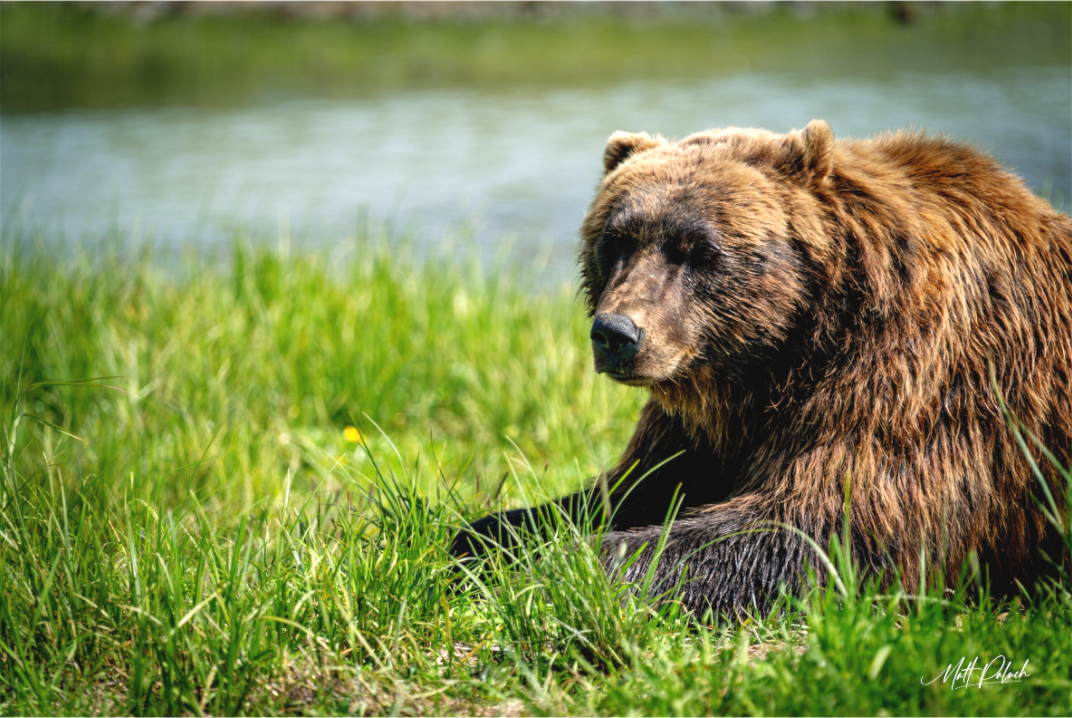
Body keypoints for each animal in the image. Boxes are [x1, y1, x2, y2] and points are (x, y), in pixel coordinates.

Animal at [451, 120, 1072, 618]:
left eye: (697, 250)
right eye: (615, 240)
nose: (616, 333)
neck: (773, 359)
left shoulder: (911, 378)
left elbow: (819, 526)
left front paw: (561, 566)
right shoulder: (700, 422)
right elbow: (627, 489)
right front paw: (475, 537)